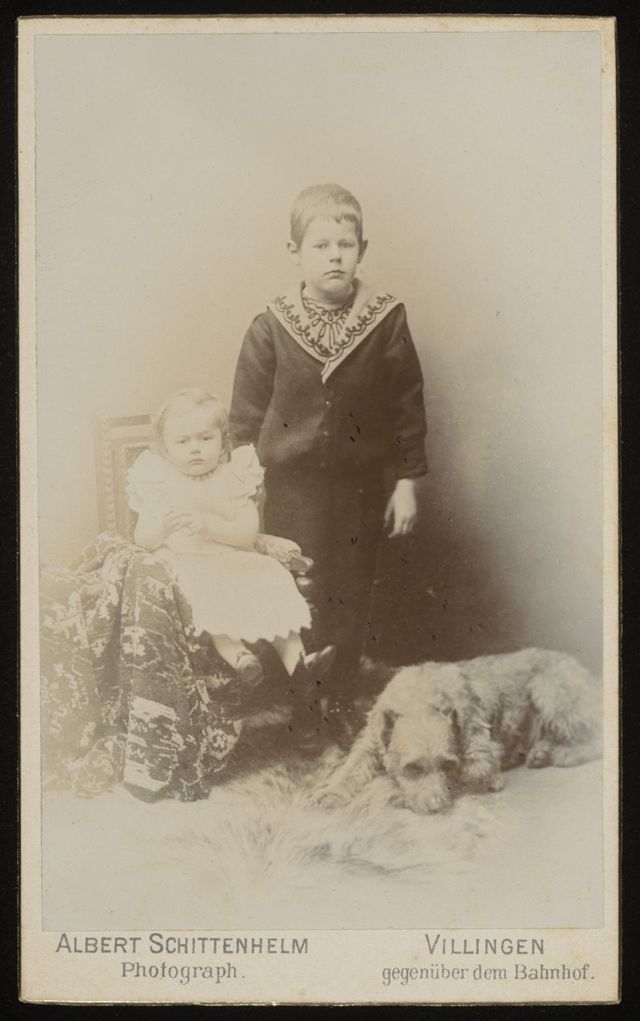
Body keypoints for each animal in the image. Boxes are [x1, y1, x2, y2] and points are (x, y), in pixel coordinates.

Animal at [311, 649, 601, 814]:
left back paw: (563, 754)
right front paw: (331, 791)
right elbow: (352, 766)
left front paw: (397, 794)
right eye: (412, 768)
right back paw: (542, 751)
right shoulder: (371, 739)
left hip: (550, 692)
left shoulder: (483, 757)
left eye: (447, 764)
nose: (437, 806)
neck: (419, 698)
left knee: (596, 738)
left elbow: (468, 774)